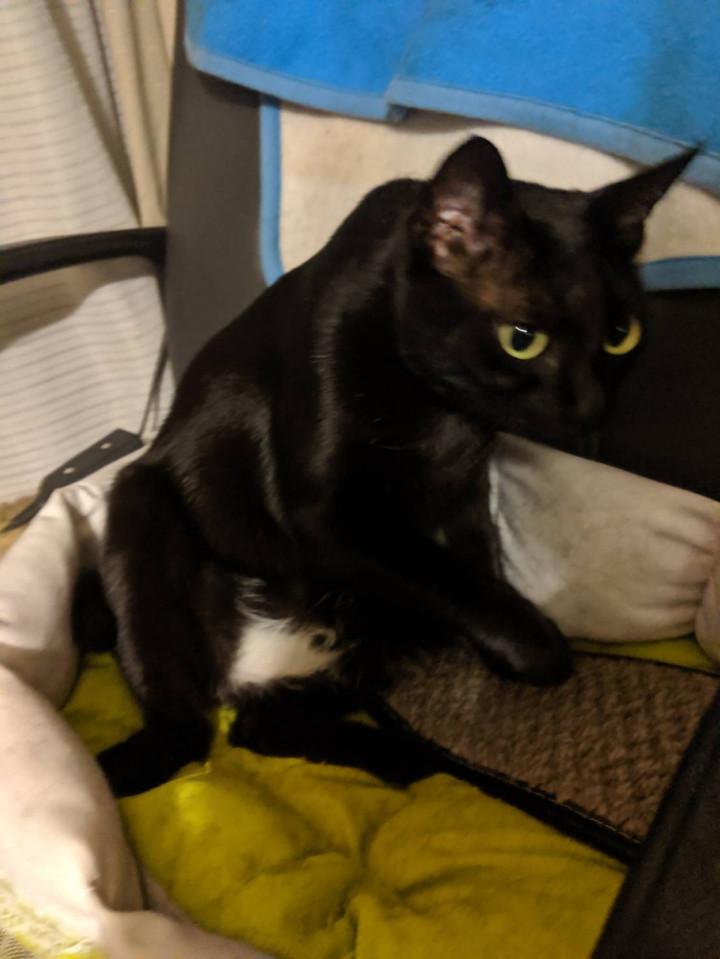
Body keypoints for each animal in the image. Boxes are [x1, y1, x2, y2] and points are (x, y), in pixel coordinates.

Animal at [83, 136, 695, 797]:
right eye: (521, 338)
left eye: (620, 335)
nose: (591, 409)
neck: (440, 406)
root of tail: (253, 655)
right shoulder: (326, 513)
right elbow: (453, 577)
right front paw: (541, 650)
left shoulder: (462, 498)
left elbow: (476, 573)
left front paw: (505, 650)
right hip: (142, 510)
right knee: (186, 731)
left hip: (374, 633)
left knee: (259, 726)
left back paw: (404, 760)